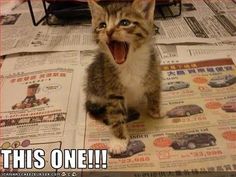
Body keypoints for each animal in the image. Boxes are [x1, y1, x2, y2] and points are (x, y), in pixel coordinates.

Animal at [86, 0, 162, 154]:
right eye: (102, 25)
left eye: (125, 22)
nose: (109, 31)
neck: (129, 63)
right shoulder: (113, 90)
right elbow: (116, 115)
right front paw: (119, 140)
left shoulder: (153, 68)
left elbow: (154, 90)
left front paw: (155, 110)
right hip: (95, 90)